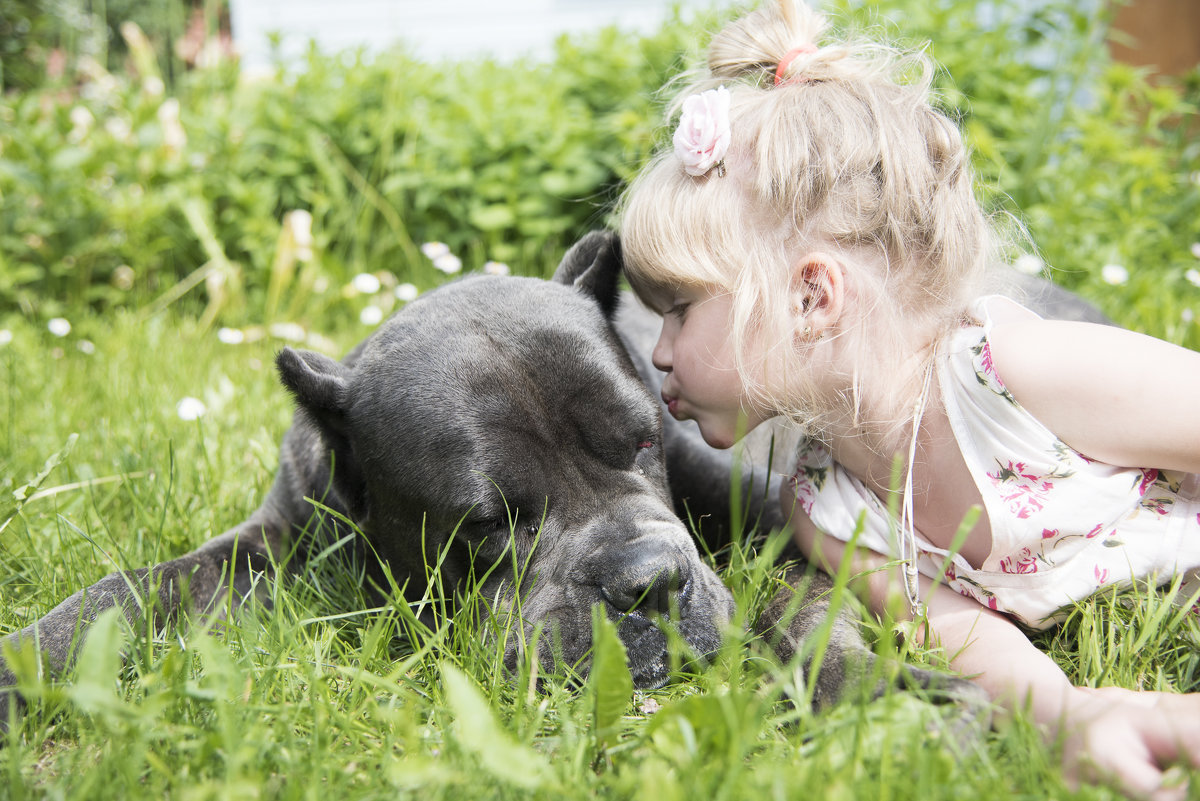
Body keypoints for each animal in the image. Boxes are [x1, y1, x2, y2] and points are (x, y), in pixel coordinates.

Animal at [0, 227, 1104, 729]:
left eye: (645, 442)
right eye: (487, 523)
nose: (647, 583)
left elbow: (804, 613)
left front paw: (893, 696)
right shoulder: (277, 537)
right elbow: (135, 585)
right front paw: (29, 657)